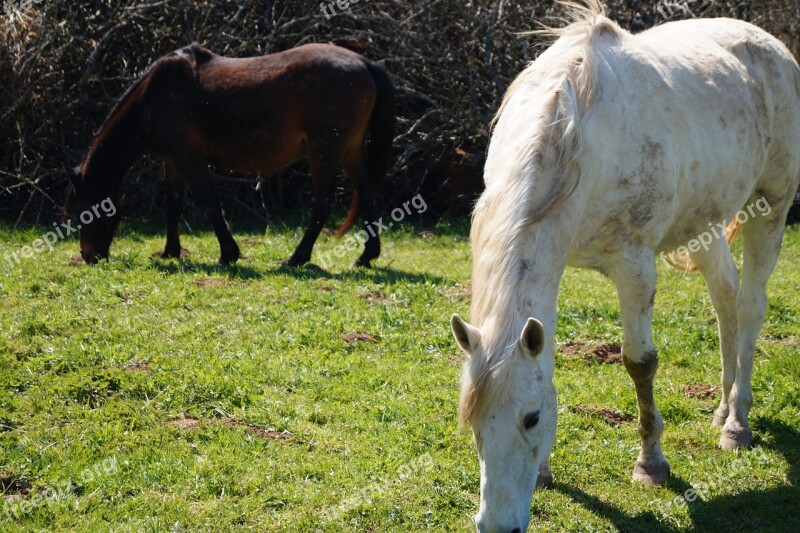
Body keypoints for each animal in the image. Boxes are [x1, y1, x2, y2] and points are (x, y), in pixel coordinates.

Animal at [64, 42, 396, 266]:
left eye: (83, 211)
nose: (88, 256)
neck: (154, 94)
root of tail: (365, 62)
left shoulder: (190, 159)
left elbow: (210, 205)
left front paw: (228, 254)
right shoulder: (173, 161)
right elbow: (172, 208)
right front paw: (171, 252)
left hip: (325, 152)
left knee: (323, 203)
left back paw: (297, 257)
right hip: (348, 150)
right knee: (368, 193)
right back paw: (366, 256)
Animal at [450, 2, 800, 528]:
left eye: (531, 417)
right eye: (471, 420)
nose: (496, 526)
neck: (574, 136)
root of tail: (771, 46)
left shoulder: (634, 267)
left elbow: (640, 364)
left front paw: (651, 463)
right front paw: (545, 473)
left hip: (771, 207)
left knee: (752, 306)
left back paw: (736, 423)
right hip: (705, 225)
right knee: (726, 300)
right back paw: (721, 408)